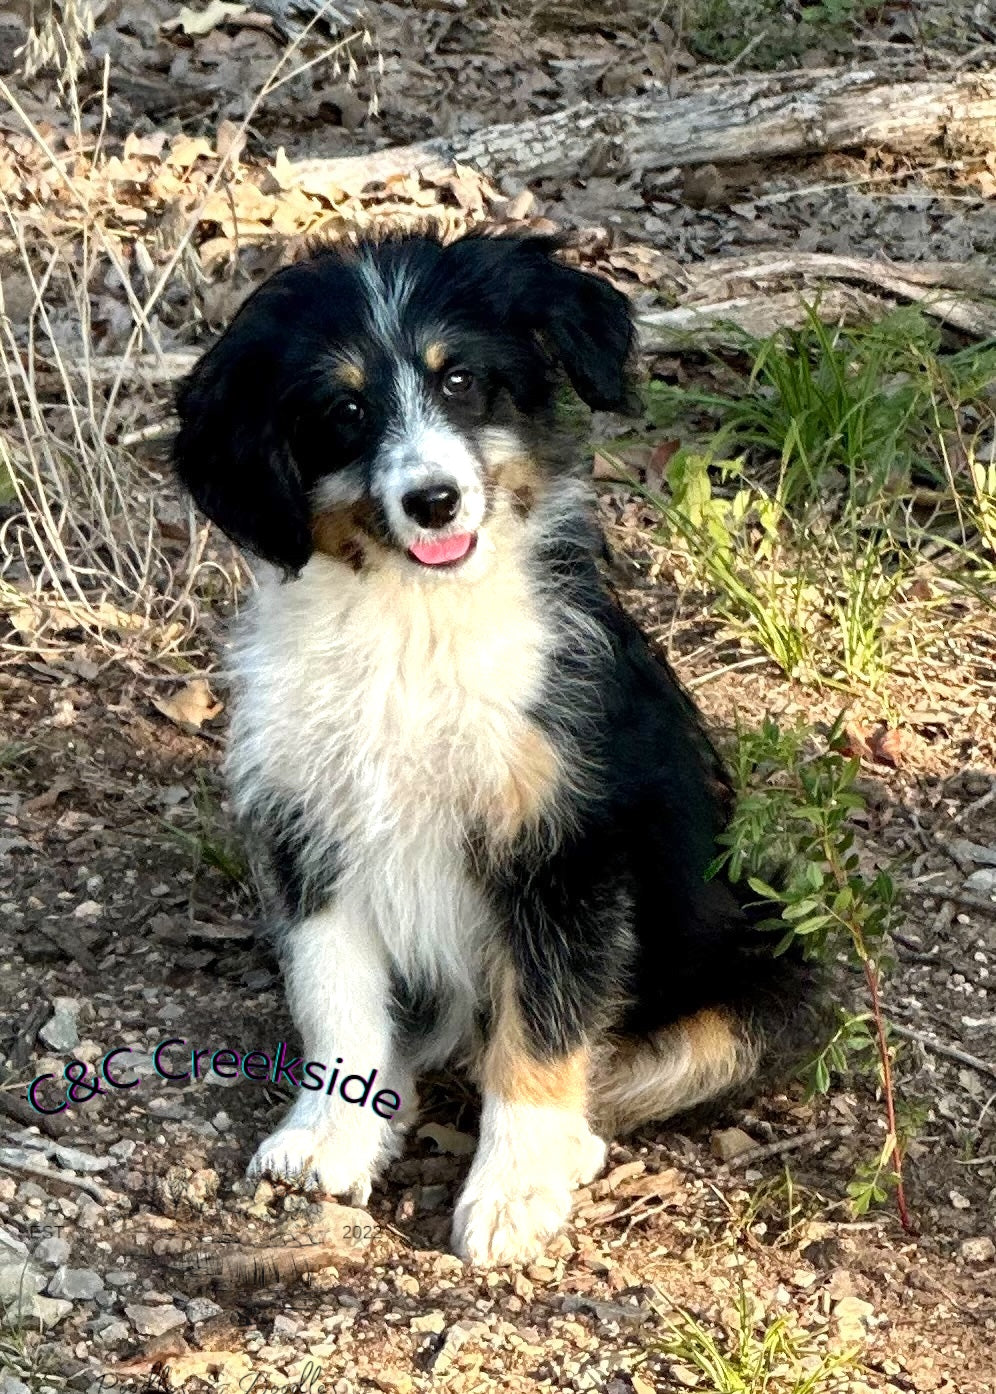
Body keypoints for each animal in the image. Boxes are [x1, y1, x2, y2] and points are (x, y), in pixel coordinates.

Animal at [170, 234, 809, 1271]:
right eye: (345, 412)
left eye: (461, 380)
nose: (433, 501)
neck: (413, 622)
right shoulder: (311, 828)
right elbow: (335, 990)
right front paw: (332, 1134)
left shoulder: (566, 848)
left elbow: (542, 1033)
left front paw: (512, 1191)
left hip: (763, 961)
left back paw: (567, 1146)